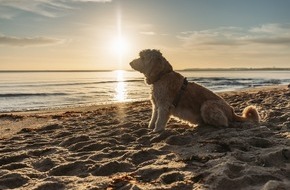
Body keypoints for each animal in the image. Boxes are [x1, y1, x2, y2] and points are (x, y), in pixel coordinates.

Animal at [130, 49, 260, 132]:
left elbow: (159, 121)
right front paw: (150, 128)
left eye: (142, 57)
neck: (162, 75)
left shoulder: (164, 106)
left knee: (224, 123)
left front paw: (156, 131)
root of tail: (232, 112)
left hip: (207, 105)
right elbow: (153, 119)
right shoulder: (156, 105)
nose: (130, 62)